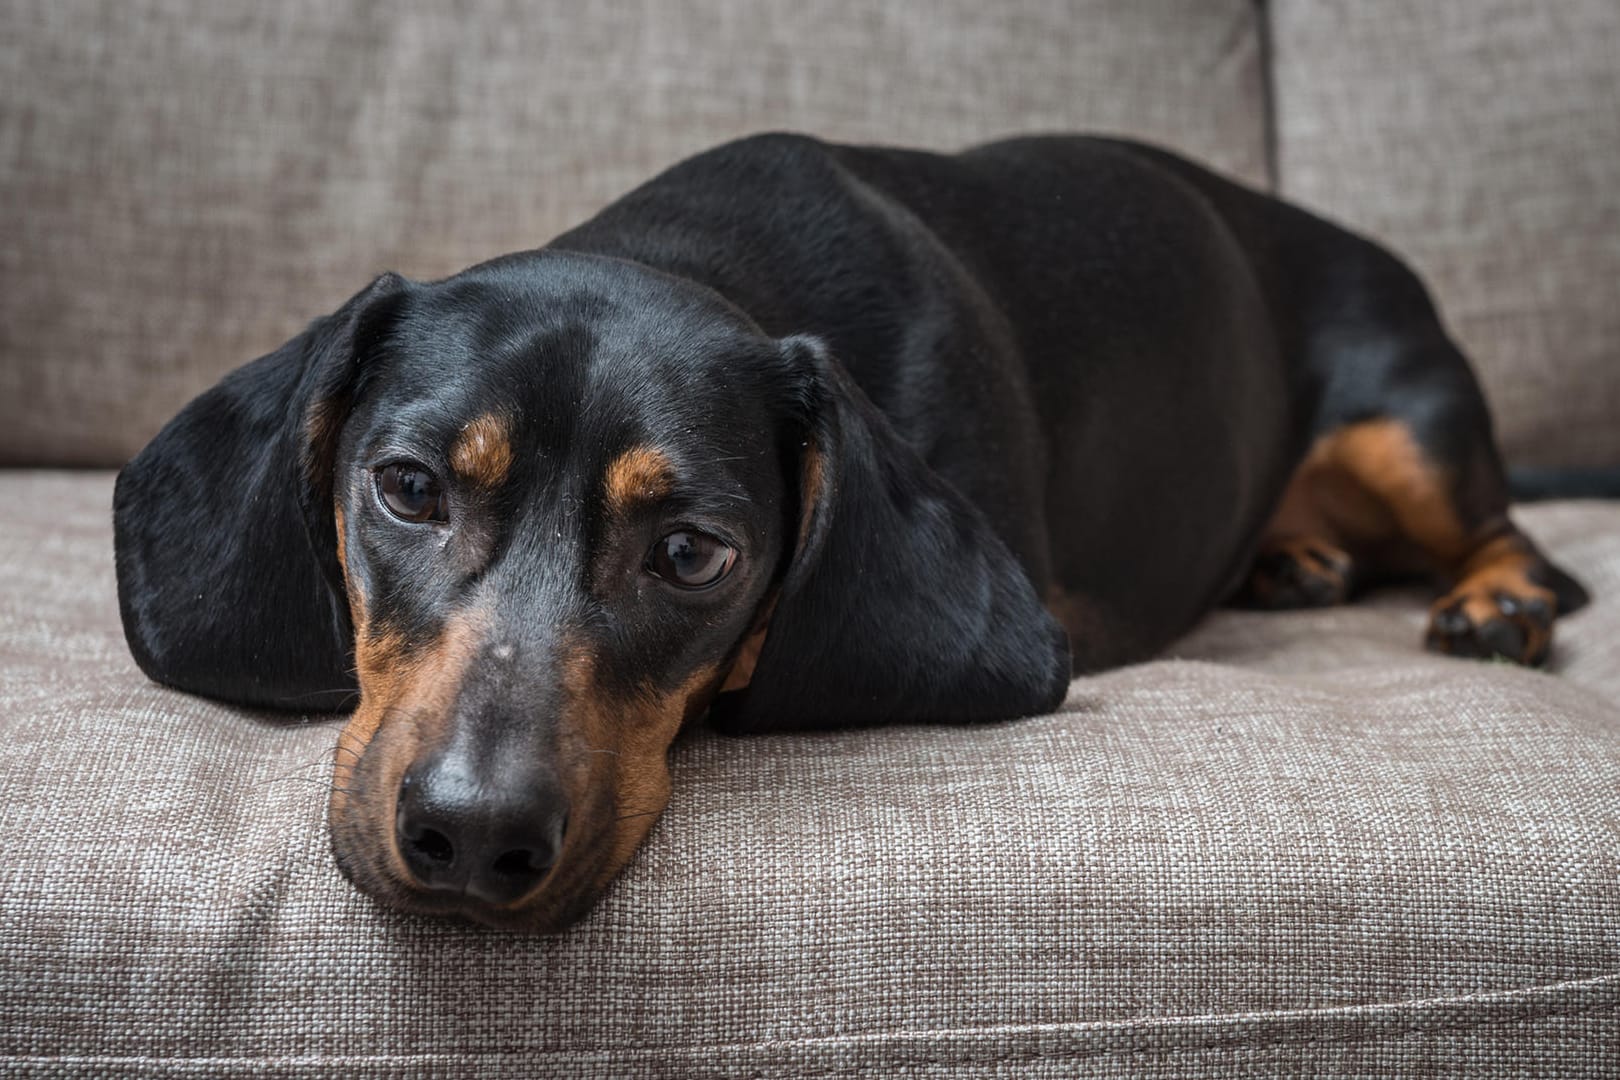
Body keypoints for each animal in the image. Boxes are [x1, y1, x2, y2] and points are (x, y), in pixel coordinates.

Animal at [117, 132, 1594, 932]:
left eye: (693, 553)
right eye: (411, 488)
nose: (474, 842)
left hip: (1410, 421)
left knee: (1520, 538)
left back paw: (1495, 601)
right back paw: (1295, 560)